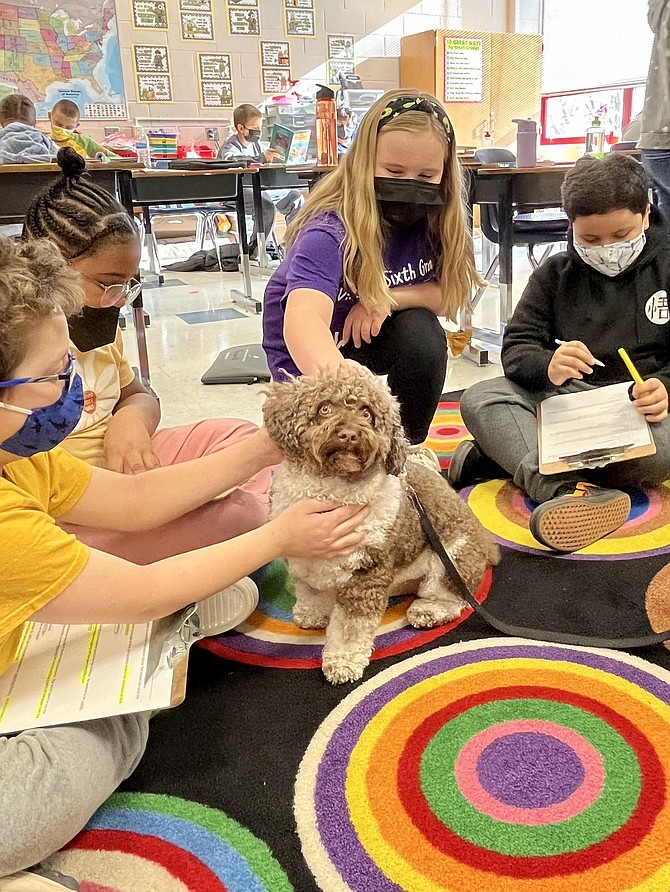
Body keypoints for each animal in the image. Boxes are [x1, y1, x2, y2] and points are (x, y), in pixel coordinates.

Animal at [262, 362, 498, 684]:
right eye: (324, 408)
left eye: (366, 413)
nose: (350, 434)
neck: (330, 490)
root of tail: (486, 544)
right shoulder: (304, 559)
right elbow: (310, 591)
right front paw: (312, 613)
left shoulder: (367, 572)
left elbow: (351, 626)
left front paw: (343, 661)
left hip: (451, 561)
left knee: (451, 598)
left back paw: (428, 611)